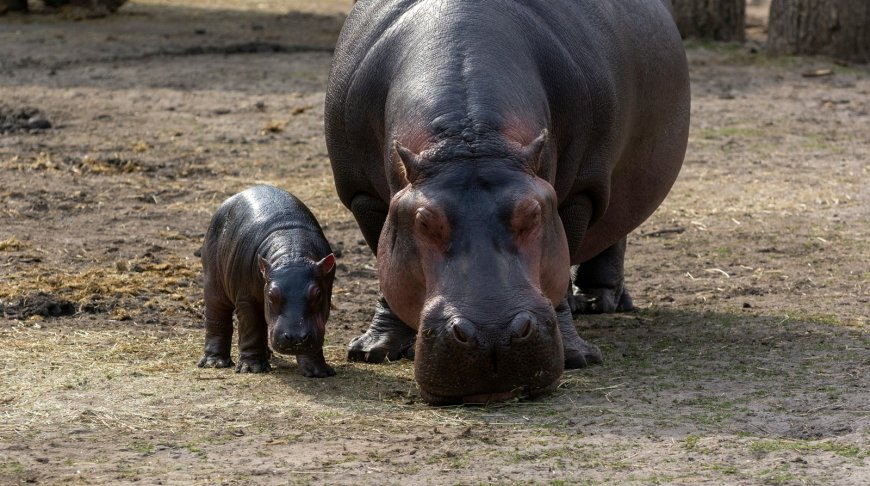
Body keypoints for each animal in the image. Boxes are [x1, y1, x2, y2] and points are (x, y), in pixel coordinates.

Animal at [198, 184, 338, 378]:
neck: (293, 252)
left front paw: (318, 371)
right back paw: (215, 363)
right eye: (271, 295)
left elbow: (316, 331)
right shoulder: (247, 299)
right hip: (213, 282)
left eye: (317, 294)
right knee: (217, 318)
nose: (295, 337)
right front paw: (252, 368)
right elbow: (251, 329)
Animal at [324, 0, 692, 402]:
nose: (492, 335)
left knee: (614, 230)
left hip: (612, 183)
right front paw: (374, 350)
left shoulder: (579, 194)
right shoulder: (364, 196)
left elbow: (560, 274)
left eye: (533, 213)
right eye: (423, 220)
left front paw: (577, 356)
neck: (471, 139)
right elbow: (385, 268)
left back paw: (599, 303)